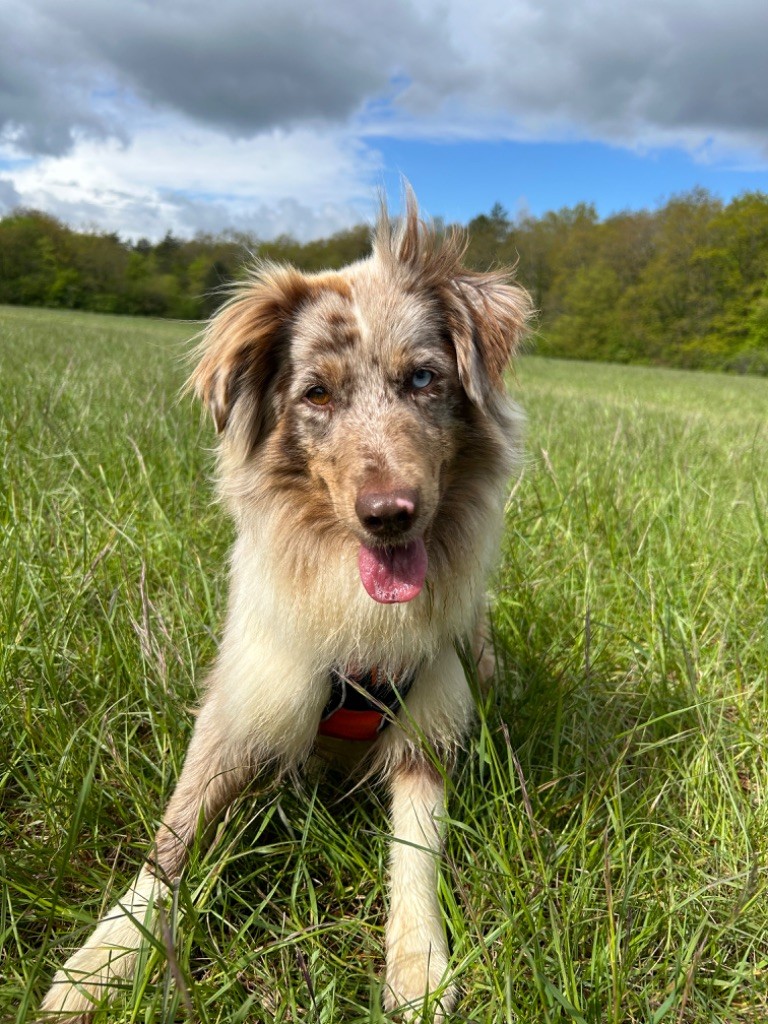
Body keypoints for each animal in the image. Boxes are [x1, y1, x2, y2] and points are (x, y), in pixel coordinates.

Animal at [37, 193, 528, 1024]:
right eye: (317, 394)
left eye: (423, 378)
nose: (389, 515)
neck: (350, 601)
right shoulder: (244, 705)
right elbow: (170, 844)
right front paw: (101, 960)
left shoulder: (430, 723)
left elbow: (417, 853)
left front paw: (419, 968)